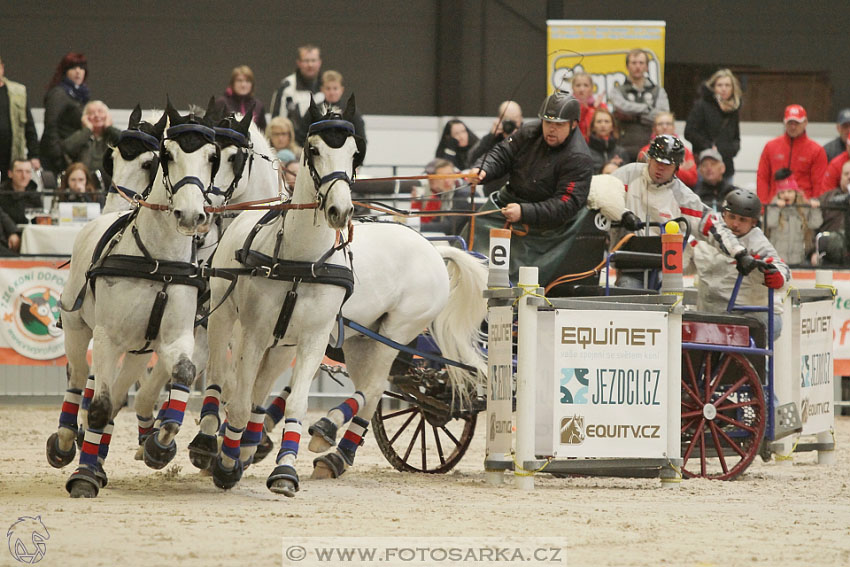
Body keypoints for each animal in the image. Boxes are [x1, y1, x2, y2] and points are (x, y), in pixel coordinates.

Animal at [58, 101, 220, 496]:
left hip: (138, 349)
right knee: (78, 378)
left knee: (117, 392)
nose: (190, 215)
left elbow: (181, 374)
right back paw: (65, 441)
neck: (157, 261)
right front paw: (84, 476)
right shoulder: (107, 337)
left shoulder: (175, 338)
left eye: (212, 157)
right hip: (77, 328)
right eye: (168, 155)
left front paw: (160, 446)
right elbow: (99, 406)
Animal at [202, 98, 362, 496]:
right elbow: (238, 402)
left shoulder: (311, 341)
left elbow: (296, 404)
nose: (340, 210)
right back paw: (211, 442)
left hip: (280, 346)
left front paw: (285, 470)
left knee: (257, 391)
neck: (301, 260)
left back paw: (246, 446)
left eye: (355, 153)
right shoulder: (253, 335)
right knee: (221, 379)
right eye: (313, 149)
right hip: (224, 320)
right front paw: (225, 465)